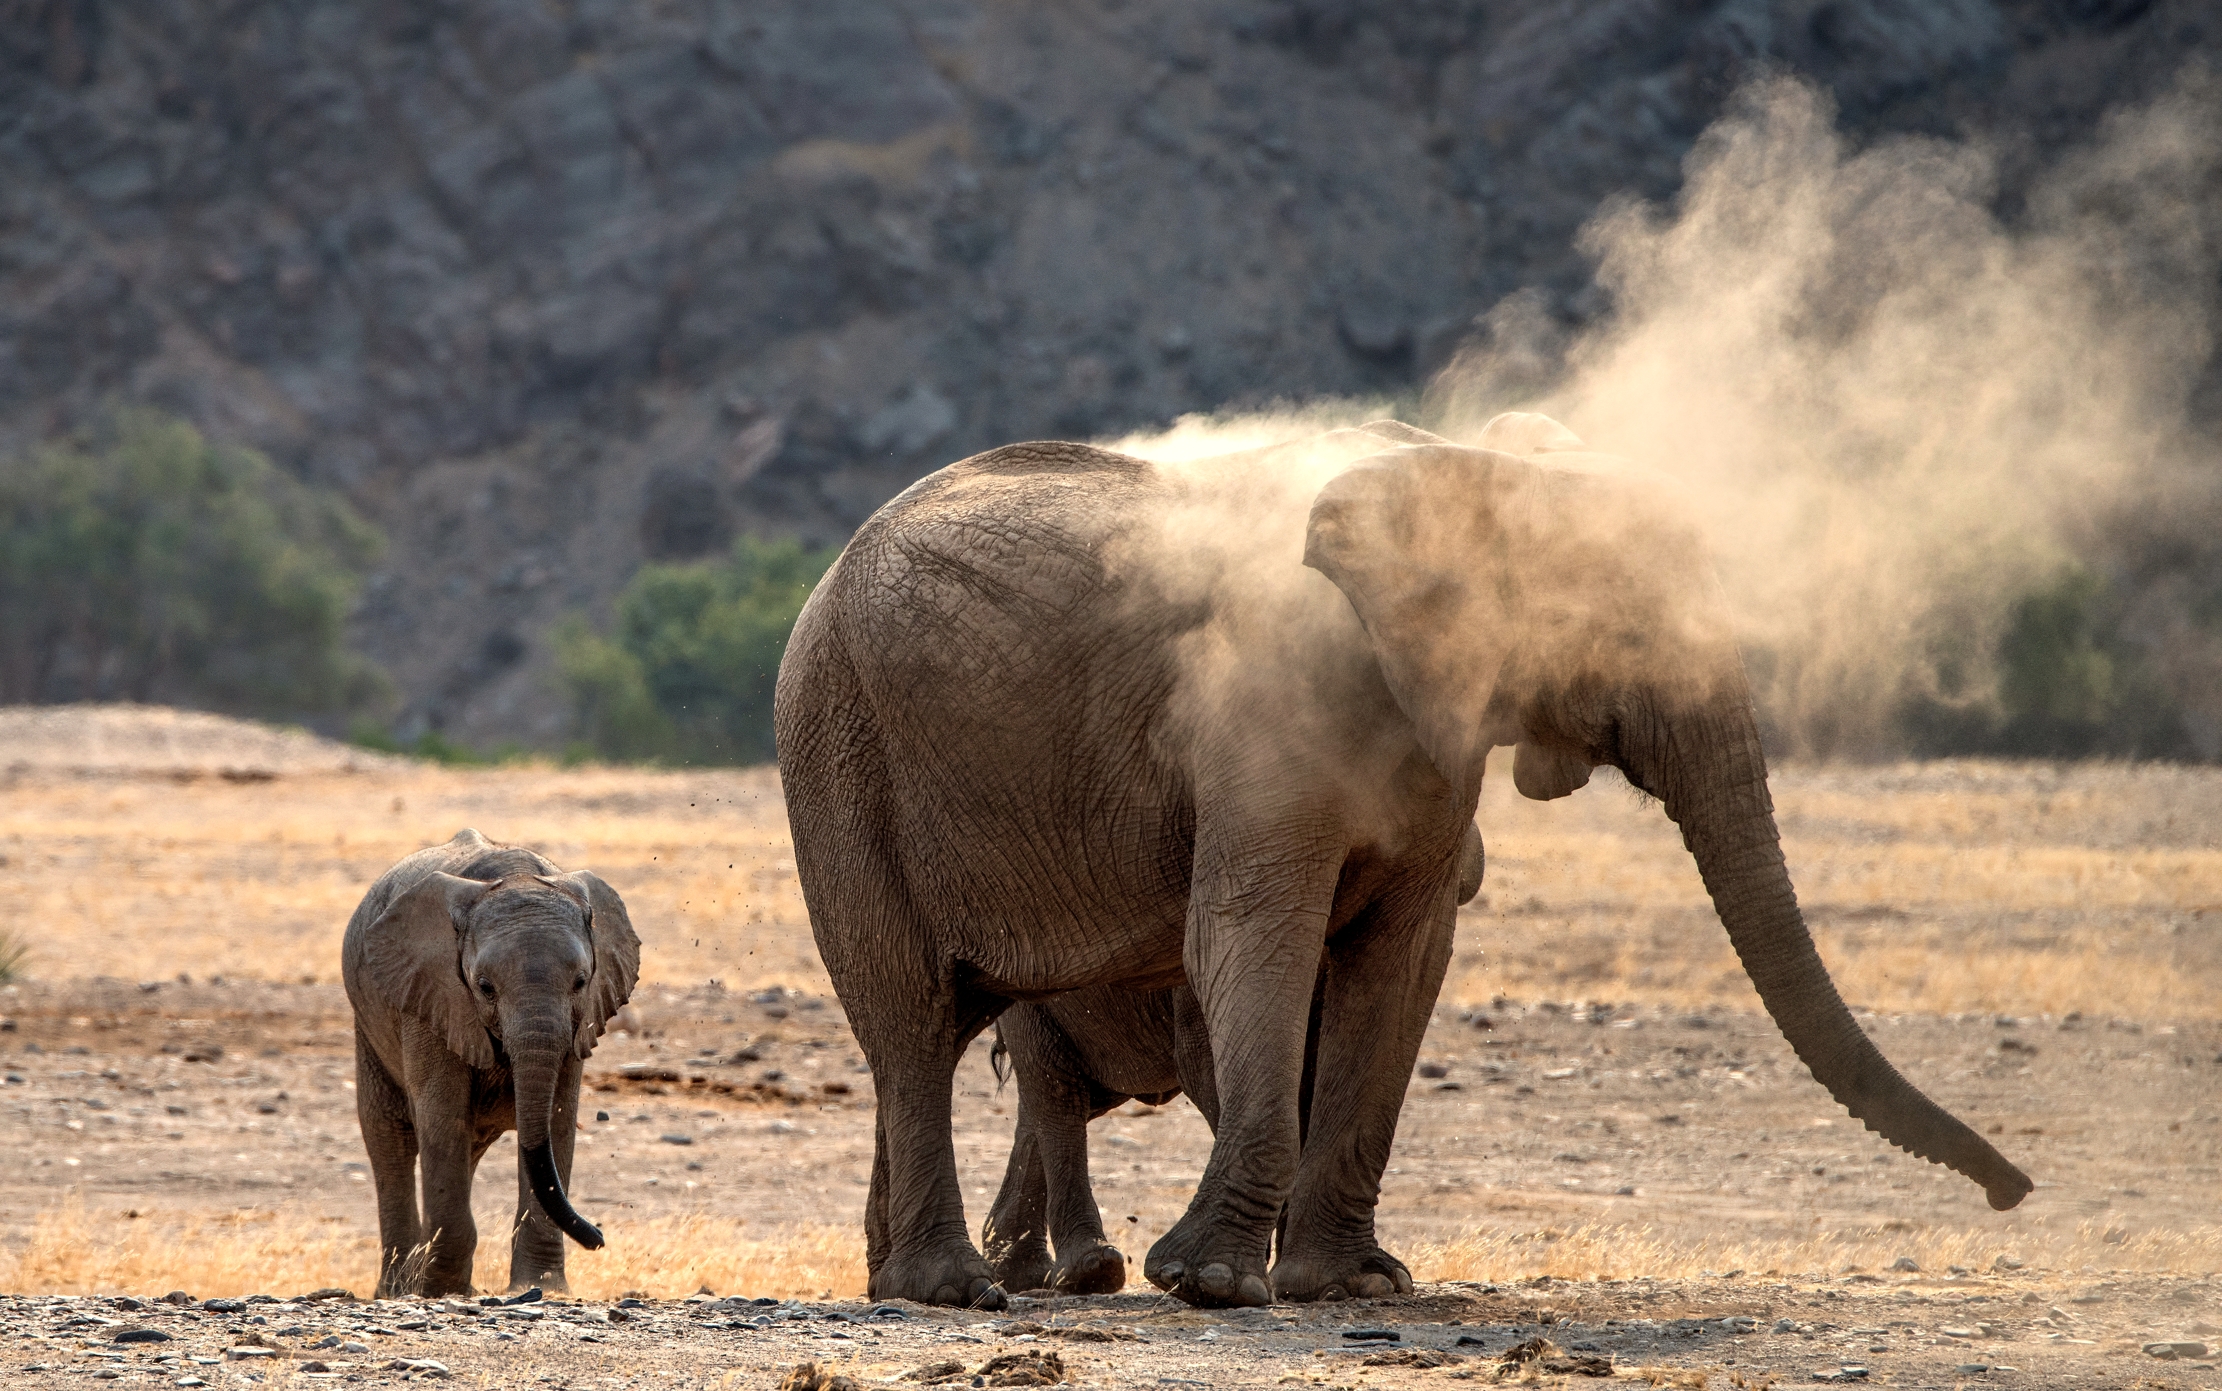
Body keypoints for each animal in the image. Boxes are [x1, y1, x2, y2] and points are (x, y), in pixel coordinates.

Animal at [337, 822, 639, 1288]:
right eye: (484, 987)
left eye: (581, 981)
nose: (599, 1237)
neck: (514, 876)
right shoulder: (430, 995)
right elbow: (442, 1114)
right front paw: (439, 1289)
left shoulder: (580, 1022)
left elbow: (556, 1120)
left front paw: (540, 1288)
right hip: (368, 1025)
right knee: (391, 1139)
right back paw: (398, 1288)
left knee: (468, 1146)